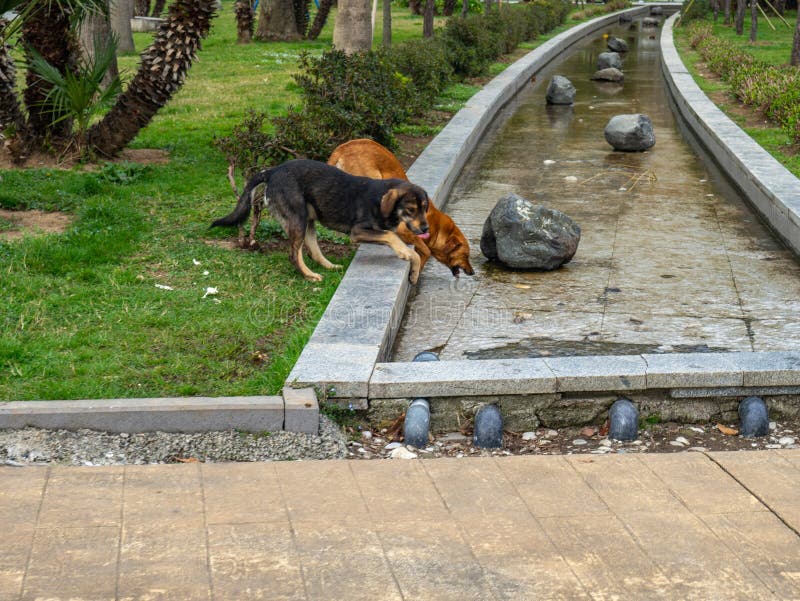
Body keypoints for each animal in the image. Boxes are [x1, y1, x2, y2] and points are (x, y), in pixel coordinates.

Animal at [209, 159, 428, 282]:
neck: (380, 198)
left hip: (308, 221)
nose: (426, 228)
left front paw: (414, 272)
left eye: (425, 208)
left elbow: (412, 251)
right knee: (293, 255)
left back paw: (329, 267)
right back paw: (309, 276)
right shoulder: (358, 232)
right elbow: (391, 236)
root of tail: (272, 171)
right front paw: (403, 253)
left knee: (313, 251)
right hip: (298, 219)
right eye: (411, 210)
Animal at [326, 139, 472, 276]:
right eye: (466, 255)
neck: (433, 222)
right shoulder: (404, 230)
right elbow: (426, 250)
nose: (472, 272)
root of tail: (342, 148)